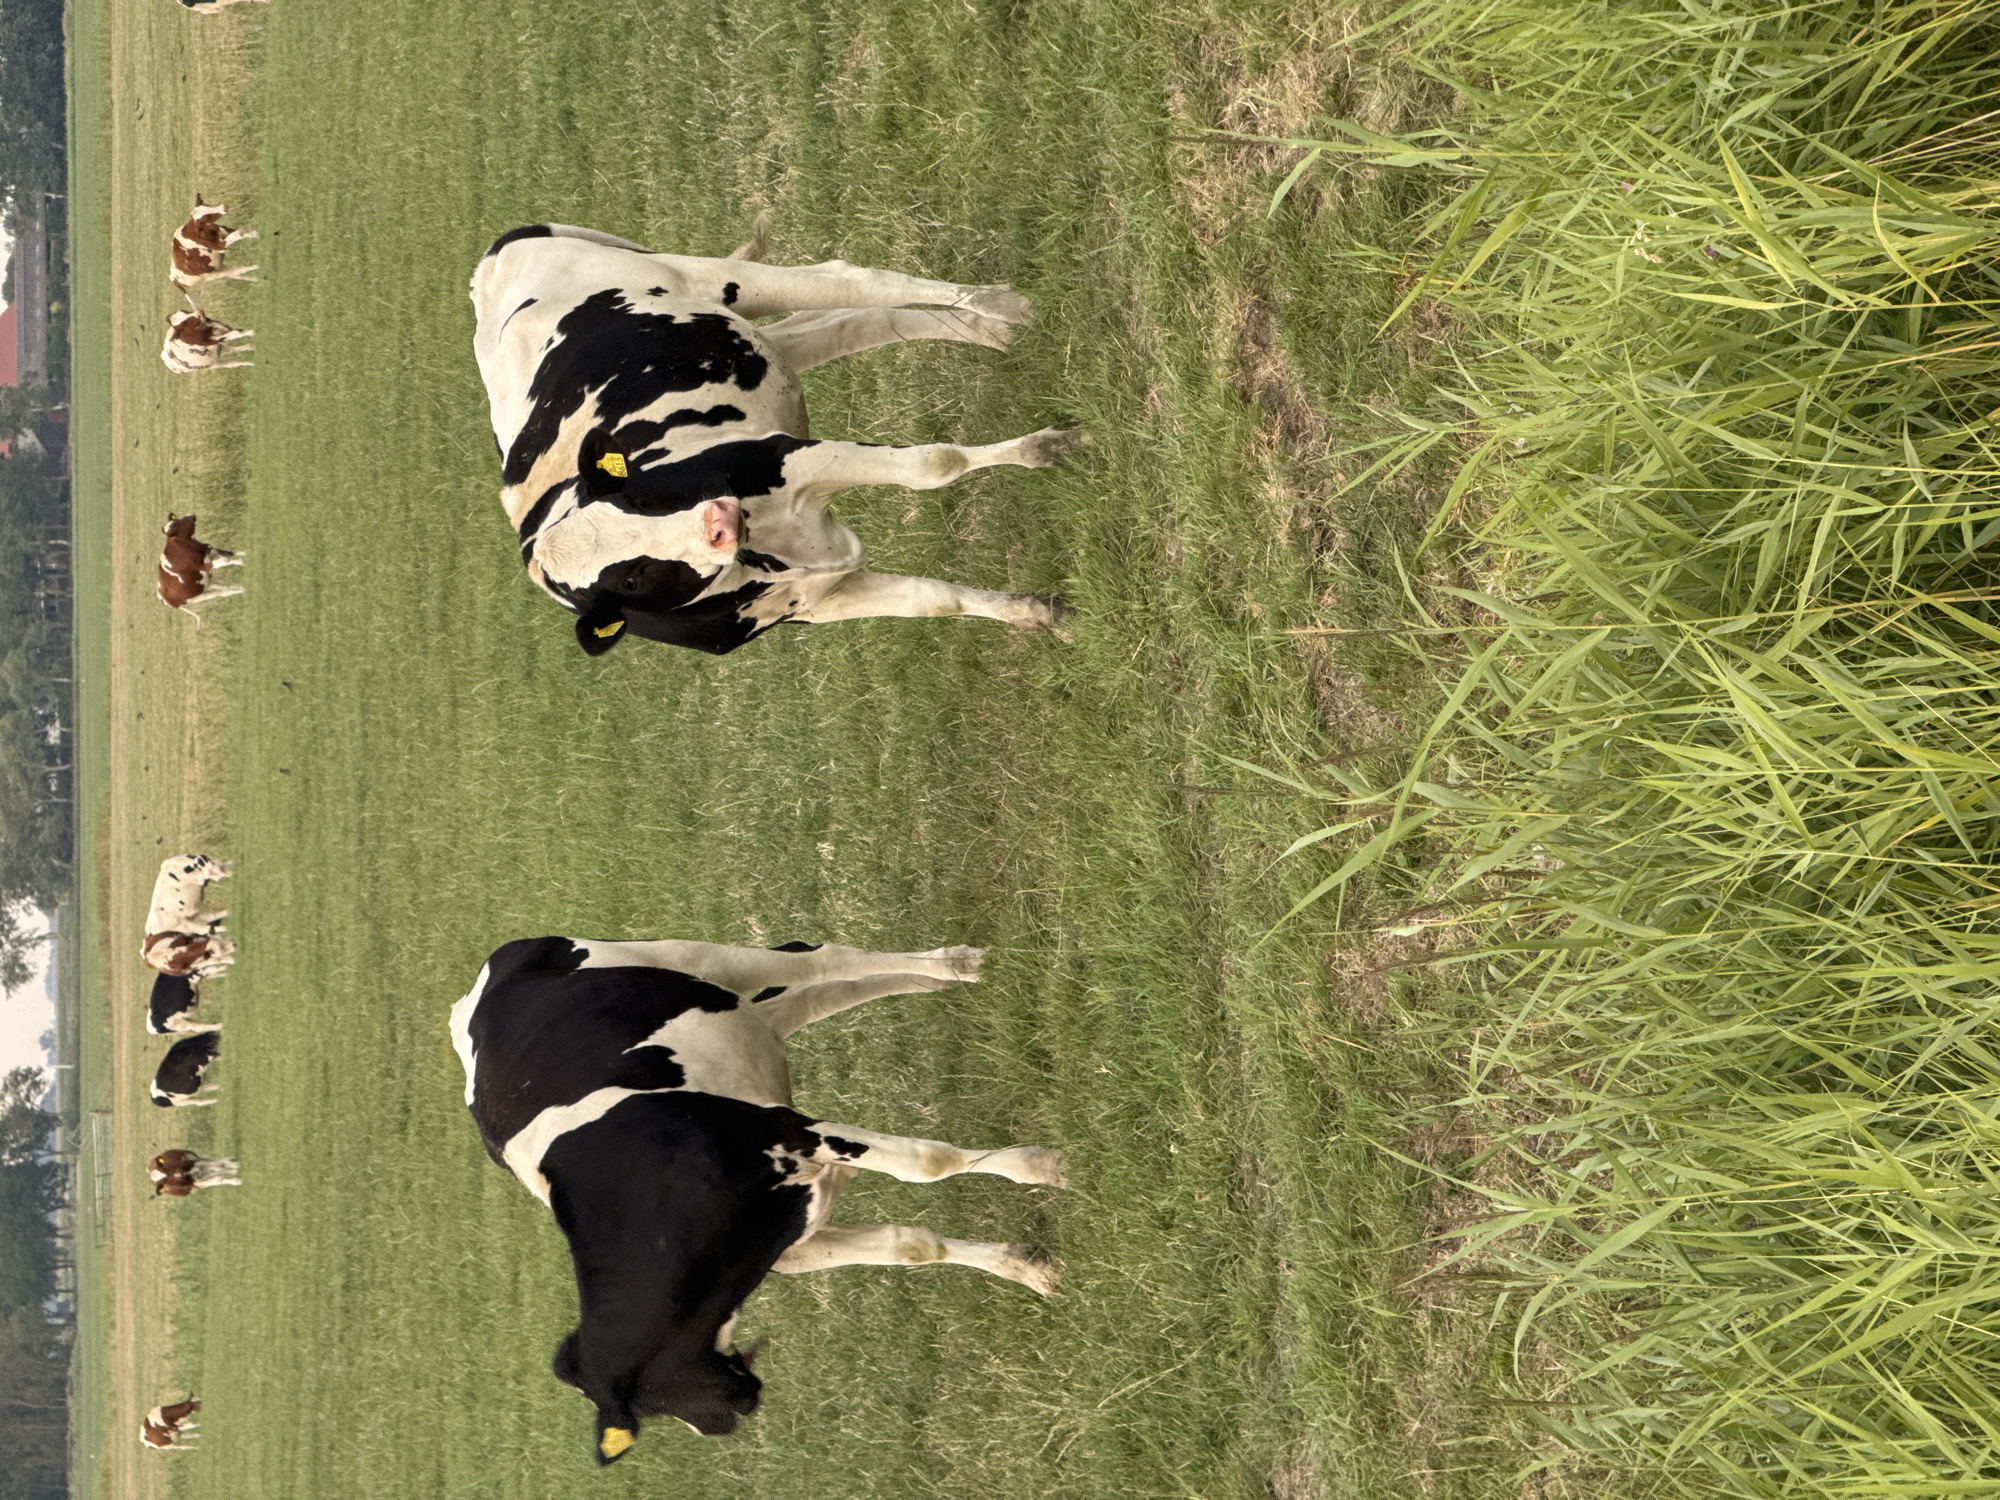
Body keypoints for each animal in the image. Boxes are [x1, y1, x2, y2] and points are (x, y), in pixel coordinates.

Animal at [451, 933, 1063, 1464]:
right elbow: (911, 1245)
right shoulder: (794, 1243)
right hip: (734, 1025)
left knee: (819, 961)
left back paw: (957, 963)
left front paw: (1045, 1167)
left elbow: (926, 1162)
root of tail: (471, 996)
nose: (731, 1417)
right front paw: (1024, 1266)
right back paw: (939, 977)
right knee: (810, 996)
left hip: (685, 959)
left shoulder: (789, 1131)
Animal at [470, 223, 1087, 658]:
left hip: (706, 280)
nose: (718, 520)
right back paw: (994, 330)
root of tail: (487, 270)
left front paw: (1053, 446)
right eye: (631, 576)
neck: (762, 555)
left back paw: (1001, 305)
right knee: (854, 321)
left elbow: (932, 464)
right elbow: (935, 600)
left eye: (637, 495)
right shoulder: (818, 601)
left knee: (857, 282)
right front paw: (1038, 613)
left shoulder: (788, 456)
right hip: (757, 344)